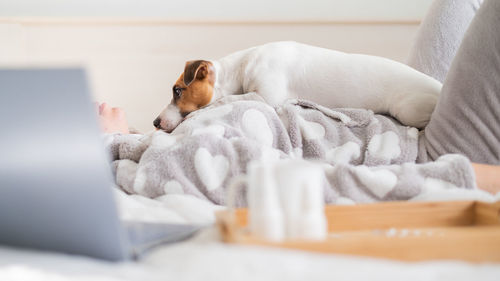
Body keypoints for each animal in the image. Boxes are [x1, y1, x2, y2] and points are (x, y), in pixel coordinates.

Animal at [153, 41, 442, 132]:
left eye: (177, 90)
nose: (155, 122)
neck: (242, 67)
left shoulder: (266, 98)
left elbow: (226, 100)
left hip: (409, 110)